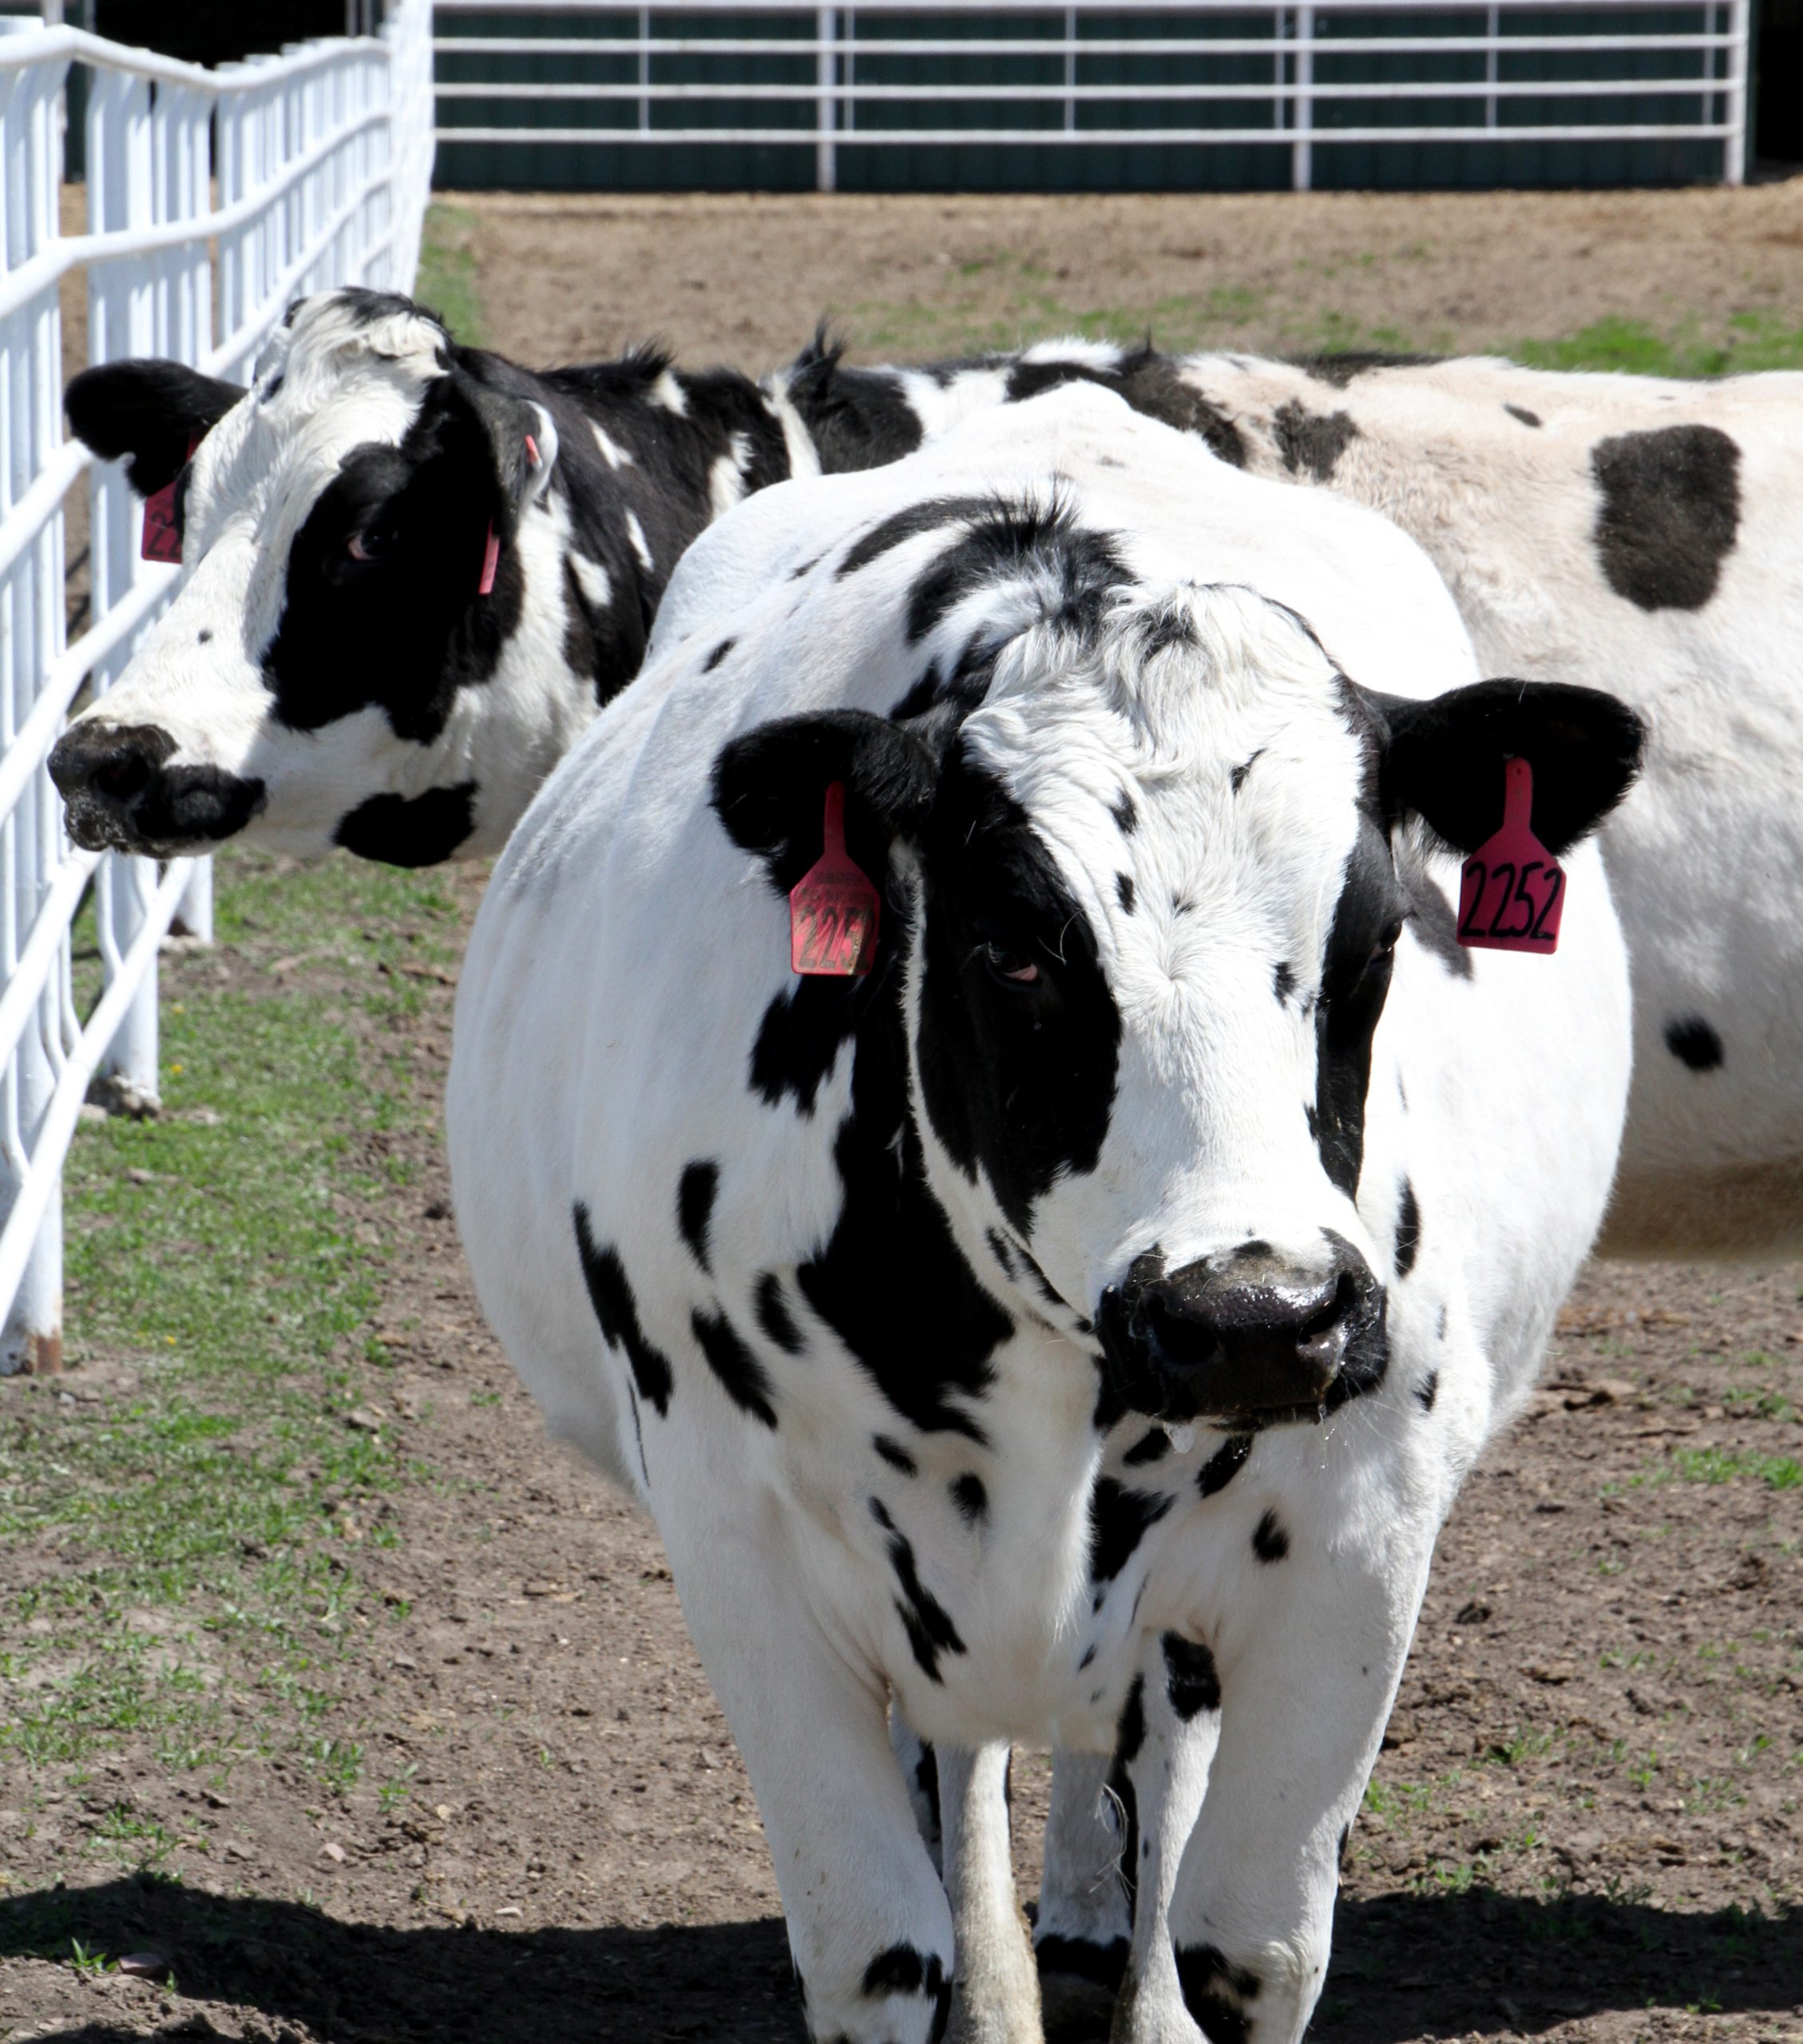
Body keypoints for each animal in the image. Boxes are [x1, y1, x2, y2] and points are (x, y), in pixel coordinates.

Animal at [445, 382, 1640, 2044]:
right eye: (1013, 947)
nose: (1250, 1315)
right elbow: (880, 1944)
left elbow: (1244, 1947)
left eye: (1376, 936)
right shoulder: (745, 1549)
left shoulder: (1355, 1540)